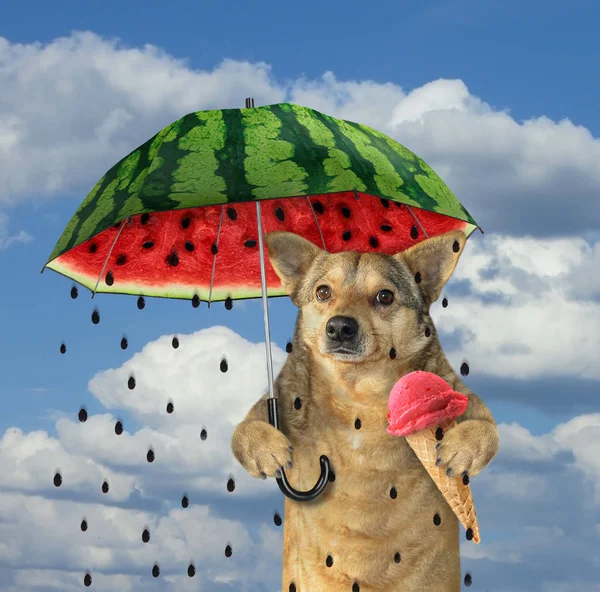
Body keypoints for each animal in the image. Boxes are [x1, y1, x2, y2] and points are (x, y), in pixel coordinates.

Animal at [230, 230, 496, 592]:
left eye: (384, 296)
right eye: (323, 292)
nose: (340, 327)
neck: (357, 392)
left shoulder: (460, 394)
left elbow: (486, 426)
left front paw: (462, 448)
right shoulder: (280, 399)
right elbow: (243, 429)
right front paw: (264, 448)